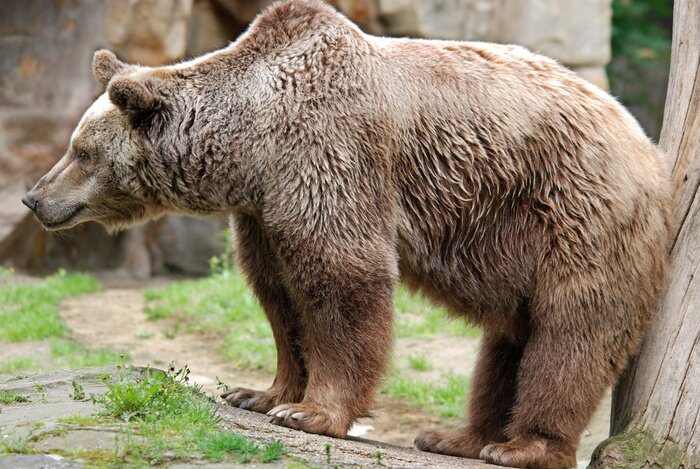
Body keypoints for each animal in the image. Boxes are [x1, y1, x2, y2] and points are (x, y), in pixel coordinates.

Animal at [23, 1, 671, 467]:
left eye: (81, 151)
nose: (34, 198)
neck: (252, 146)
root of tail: (647, 146)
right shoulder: (264, 207)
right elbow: (277, 294)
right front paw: (263, 393)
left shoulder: (329, 151)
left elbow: (342, 276)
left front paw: (311, 413)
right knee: (508, 341)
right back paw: (455, 437)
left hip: (579, 216)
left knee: (570, 331)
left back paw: (521, 446)